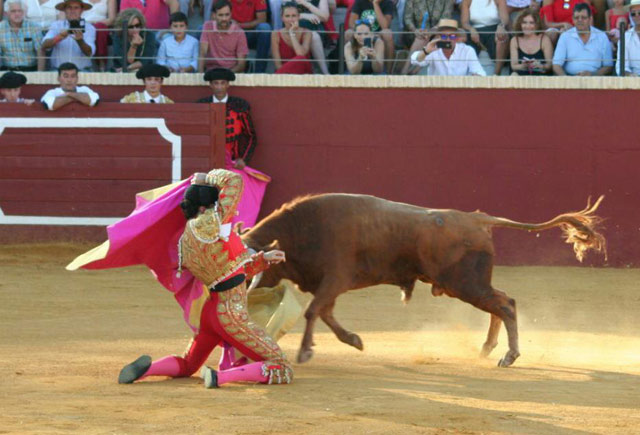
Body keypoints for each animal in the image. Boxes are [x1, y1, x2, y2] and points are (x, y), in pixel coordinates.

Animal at [241, 194, 604, 368]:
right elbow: (325, 313)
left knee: (506, 305)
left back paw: (508, 355)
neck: (303, 229)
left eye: (251, 268)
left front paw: (305, 352)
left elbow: (313, 311)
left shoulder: (334, 278)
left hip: (465, 284)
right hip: (469, 284)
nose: (242, 296)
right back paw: (488, 348)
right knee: (501, 302)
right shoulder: (329, 285)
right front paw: (354, 340)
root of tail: (476, 218)